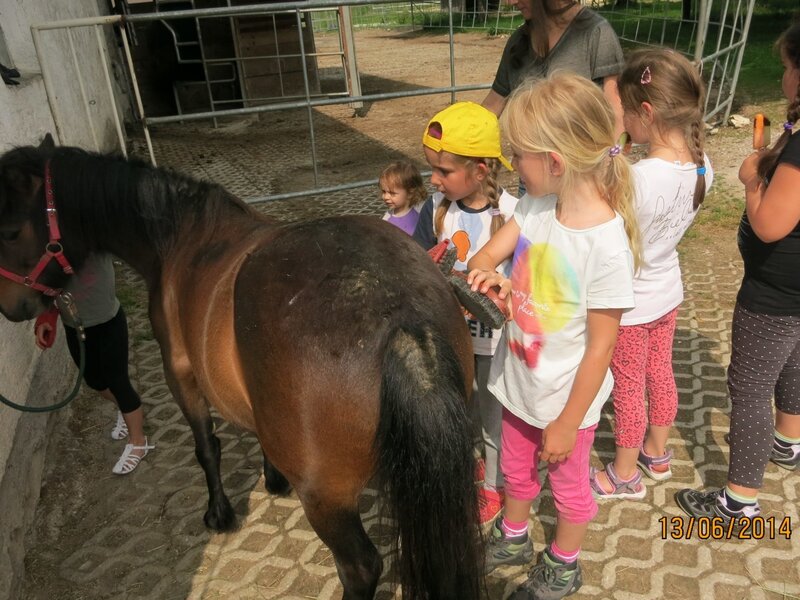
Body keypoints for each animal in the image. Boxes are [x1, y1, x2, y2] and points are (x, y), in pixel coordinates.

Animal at [0, 136, 484, 599]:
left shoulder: (179, 372)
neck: (179, 237)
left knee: (360, 569)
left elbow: (206, 445)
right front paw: (272, 478)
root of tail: (399, 314)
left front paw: (219, 512)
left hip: (326, 498)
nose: (12, 307)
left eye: (9, 230)